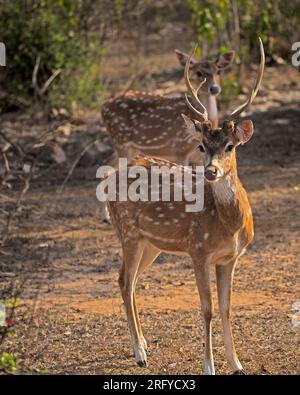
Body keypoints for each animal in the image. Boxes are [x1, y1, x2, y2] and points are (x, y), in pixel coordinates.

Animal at [101, 48, 234, 166]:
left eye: (218, 71)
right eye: (199, 73)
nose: (214, 88)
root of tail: (103, 107)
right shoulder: (180, 150)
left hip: (130, 149)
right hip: (121, 143)